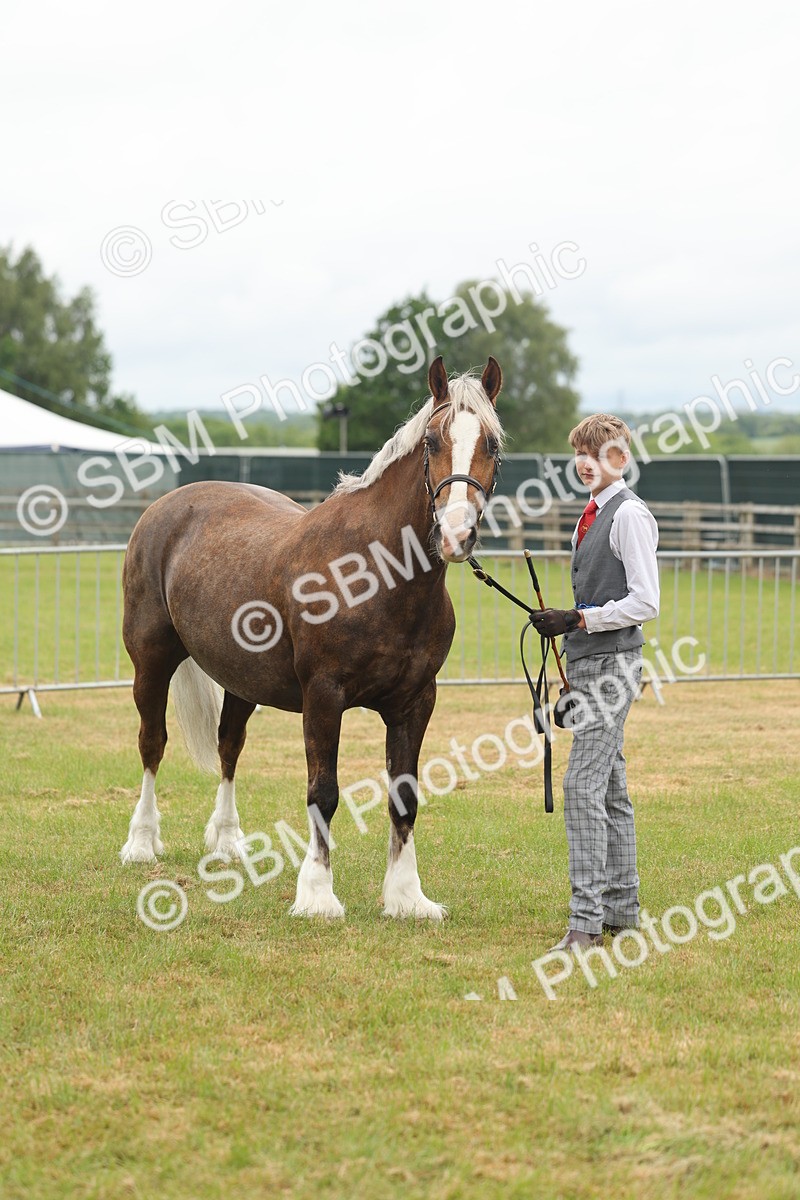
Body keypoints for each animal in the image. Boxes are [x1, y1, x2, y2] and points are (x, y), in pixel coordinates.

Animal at [119, 355, 504, 919]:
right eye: (432, 441)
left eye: (492, 445)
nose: (456, 534)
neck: (374, 573)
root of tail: (166, 505)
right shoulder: (323, 697)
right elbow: (323, 792)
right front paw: (318, 895)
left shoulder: (416, 702)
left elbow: (405, 795)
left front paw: (407, 897)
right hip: (151, 661)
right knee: (152, 743)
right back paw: (142, 843)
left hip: (242, 679)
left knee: (229, 746)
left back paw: (228, 841)